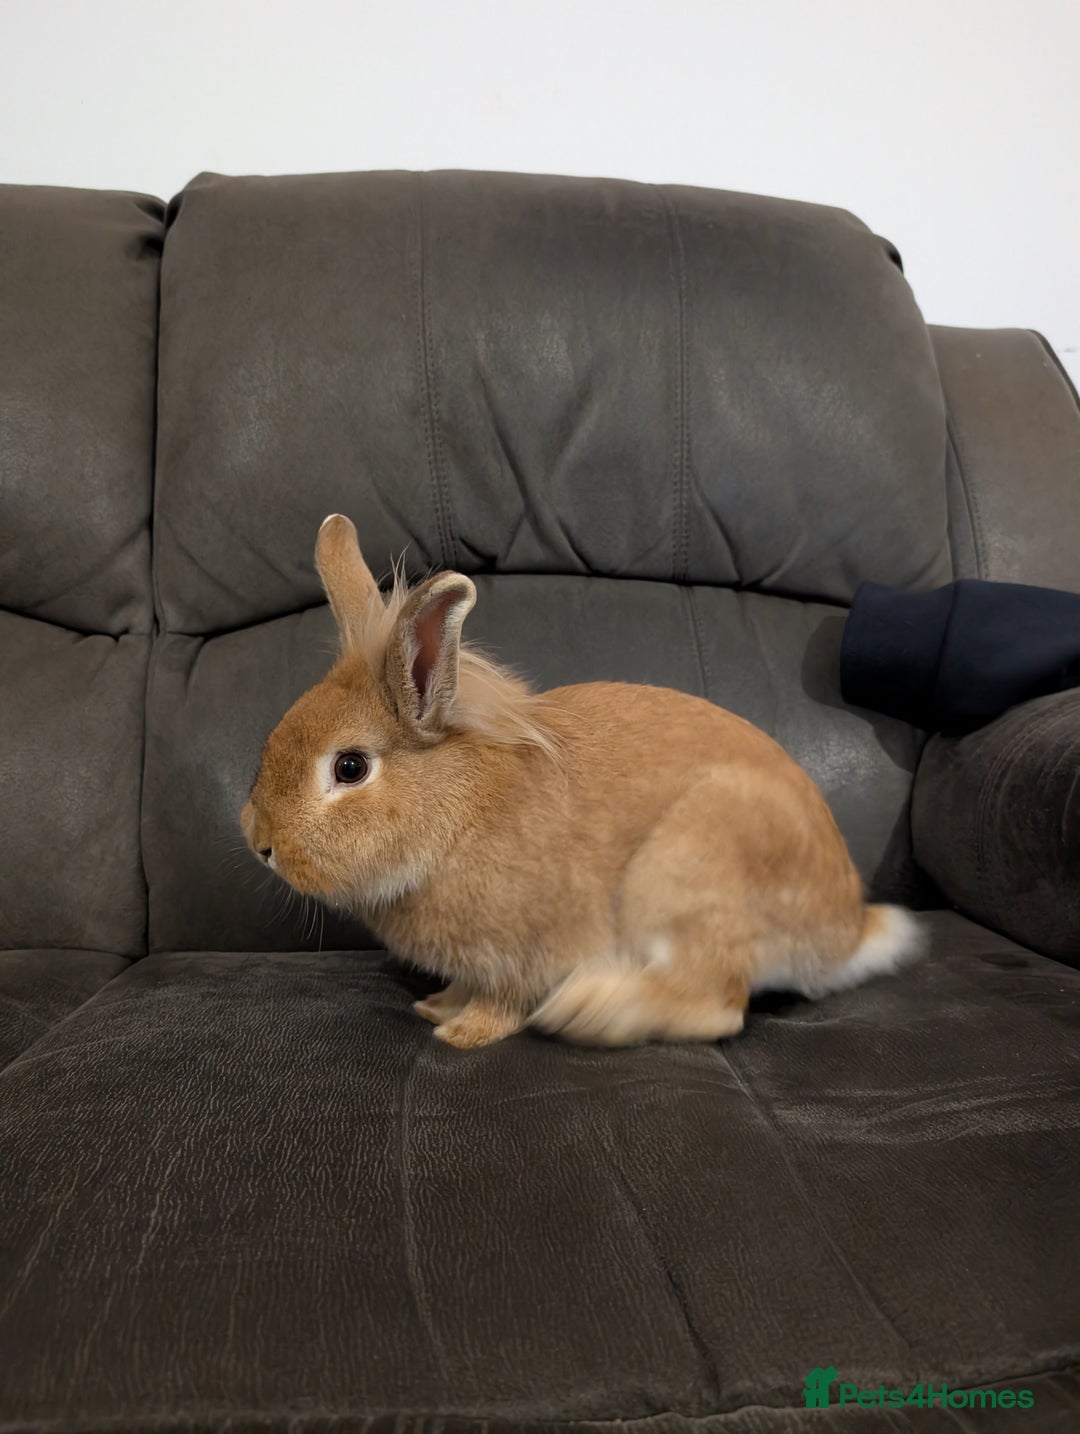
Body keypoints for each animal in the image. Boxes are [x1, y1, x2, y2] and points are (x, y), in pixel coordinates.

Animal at [240, 513, 922, 1050]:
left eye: (350, 768)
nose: (259, 842)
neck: (457, 819)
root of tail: (845, 933)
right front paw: (436, 1005)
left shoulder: (518, 953)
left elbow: (502, 1001)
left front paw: (461, 1032)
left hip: (689, 873)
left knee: (716, 1006)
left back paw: (590, 1009)